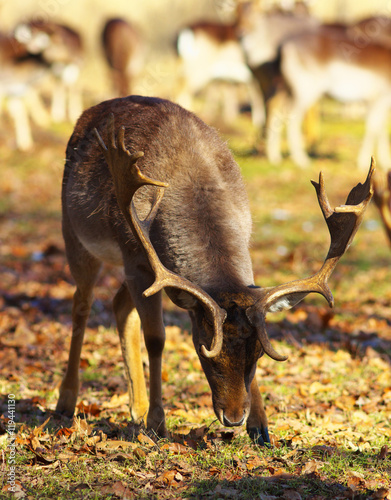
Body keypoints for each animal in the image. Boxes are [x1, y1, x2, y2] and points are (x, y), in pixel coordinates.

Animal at [56, 94, 376, 446]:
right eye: (202, 347)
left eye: (259, 355)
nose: (234, 418)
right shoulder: (136, 256)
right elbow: (156, 338)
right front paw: (157, 423)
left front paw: (261, 427)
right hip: (75, 233)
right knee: (81, 305)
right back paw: (66, 402)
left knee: (118, 305)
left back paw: (135, 408)